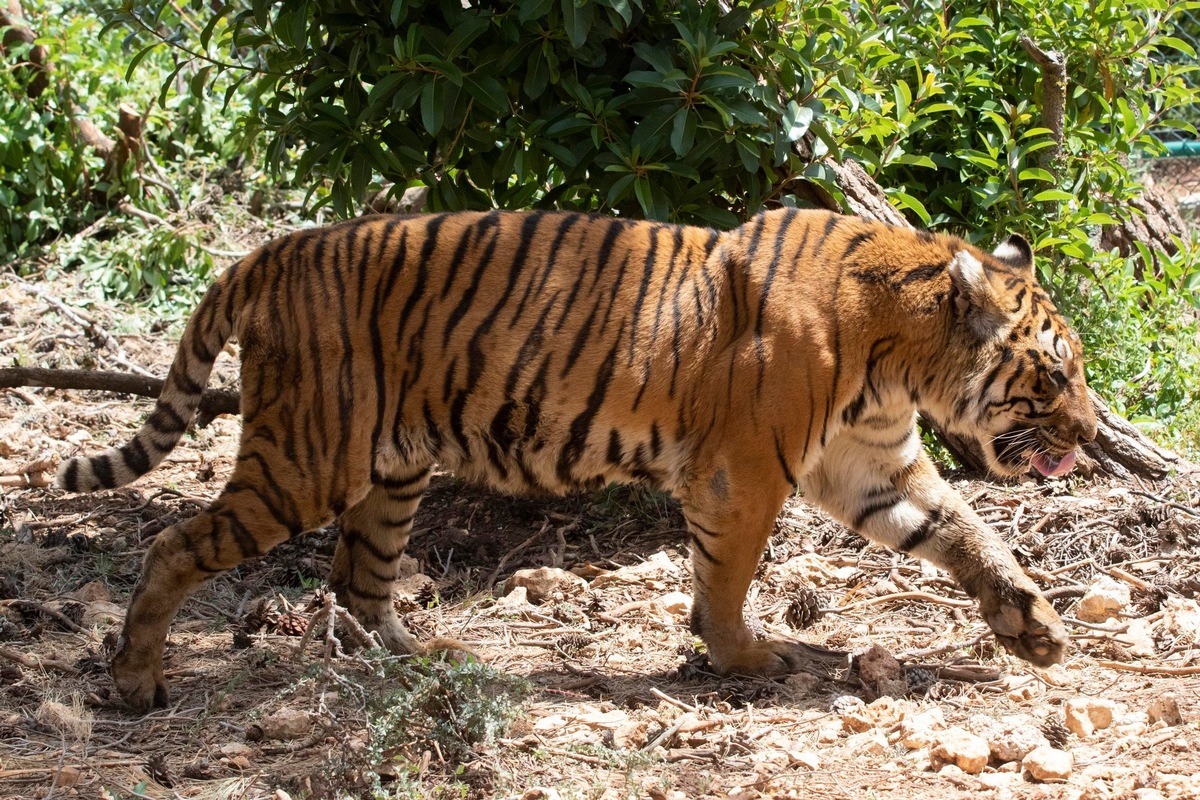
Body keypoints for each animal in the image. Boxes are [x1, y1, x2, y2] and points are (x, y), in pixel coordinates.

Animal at [56, 208, 1097, 712]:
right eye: (1054, 376)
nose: (1091, 438)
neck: (900, 353)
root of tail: (267, 253)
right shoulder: (745, 472)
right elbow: (727, 577)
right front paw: (746, 656)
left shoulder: (869, 464)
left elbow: (964, 532)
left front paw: (1035, 628)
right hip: (306, 460)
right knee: (176, 546)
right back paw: (137, 682)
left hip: (392, 473)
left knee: (358, 578)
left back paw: (419, 662)